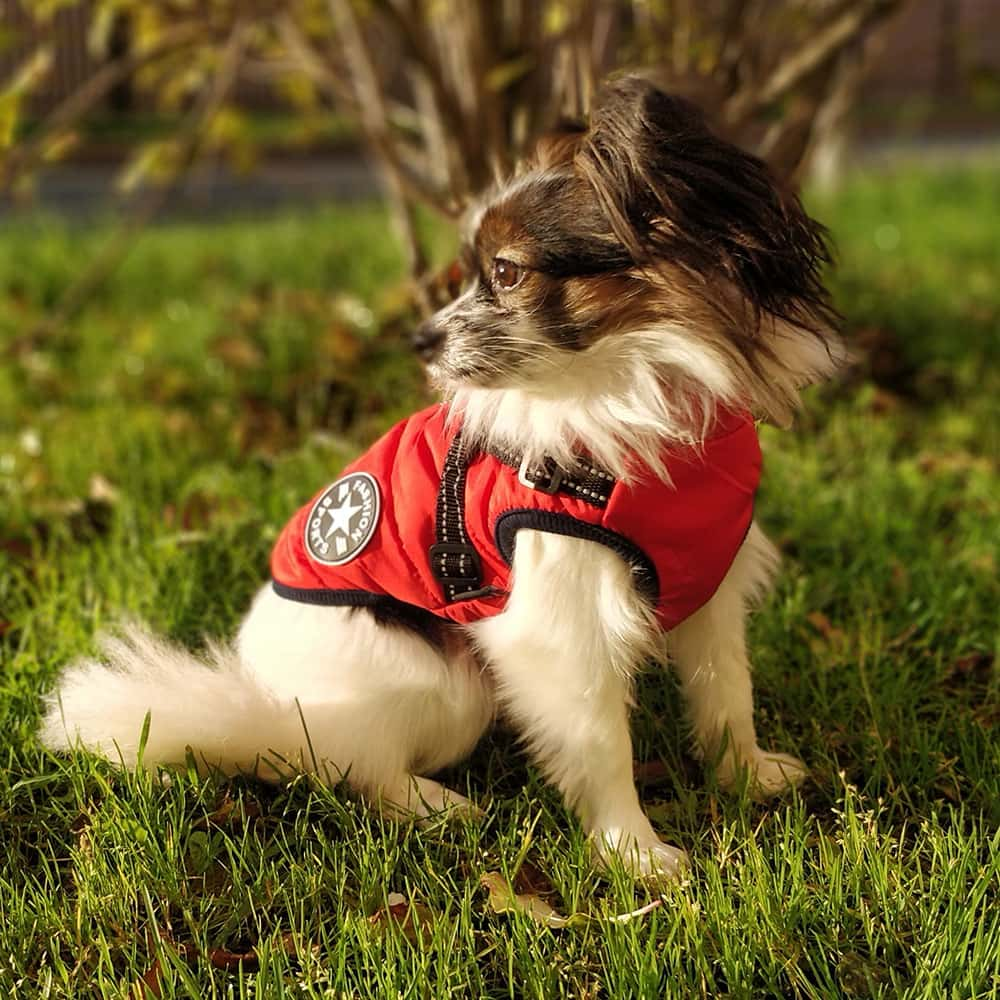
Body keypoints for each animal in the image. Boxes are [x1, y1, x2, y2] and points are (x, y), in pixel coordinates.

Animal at [39, 74, 844, 880]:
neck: (634, 384)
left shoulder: (711, 586)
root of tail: (267, 705)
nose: (418, 339)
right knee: (348, 768)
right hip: (446, 682)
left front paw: (748, 778)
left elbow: (726, 694)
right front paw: (634, 854)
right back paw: (433, 806)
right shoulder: (556, 624)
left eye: (506, 273)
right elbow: (600, 739)